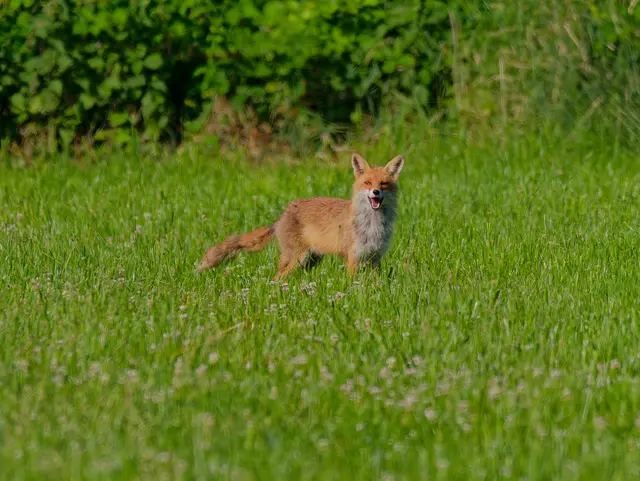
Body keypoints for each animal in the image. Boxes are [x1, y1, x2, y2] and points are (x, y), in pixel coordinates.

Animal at [197, 153, 405, 279]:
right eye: (367, 183)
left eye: (384, 184)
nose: (376, 192)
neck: (373, 226)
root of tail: (283, 213)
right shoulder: (353, 257)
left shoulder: (375, 258)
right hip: (298, 257)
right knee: (277, 277)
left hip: (310, 261)